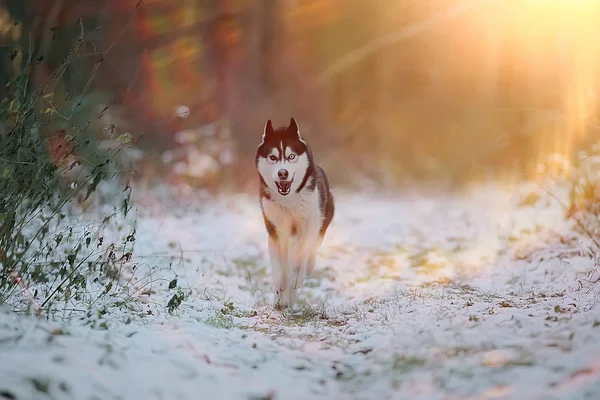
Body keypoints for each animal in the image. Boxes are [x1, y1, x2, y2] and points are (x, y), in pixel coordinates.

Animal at [255, 117, 336, 310]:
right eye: (273, 157)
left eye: (291, 156)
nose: (282, 173)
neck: (289, 200)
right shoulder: (276, 231)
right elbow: (280, 270)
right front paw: (280, 297)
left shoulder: (308, 225)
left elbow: (301, 254)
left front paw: (297, 276)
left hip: (321, 220)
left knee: (312, 248)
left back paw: (306, 270)